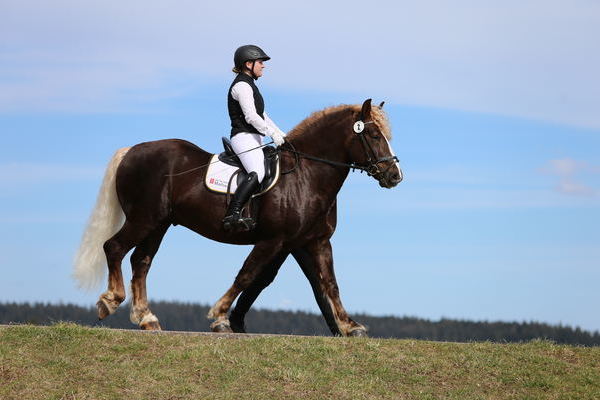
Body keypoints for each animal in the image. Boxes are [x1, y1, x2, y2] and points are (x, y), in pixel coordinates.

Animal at [74, 98, 404, 336]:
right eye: (374, 134)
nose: (394, 175)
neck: (307, 174)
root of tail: (130, 151)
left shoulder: (314, 242)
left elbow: (329, 283)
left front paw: (349, 326)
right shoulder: (274, 239)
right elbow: (247, 274)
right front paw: (220, 317)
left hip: (158, 224)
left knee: (141, 262)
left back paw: (147, 318)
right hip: (144, 219)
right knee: (114, 248)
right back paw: (109, 301)